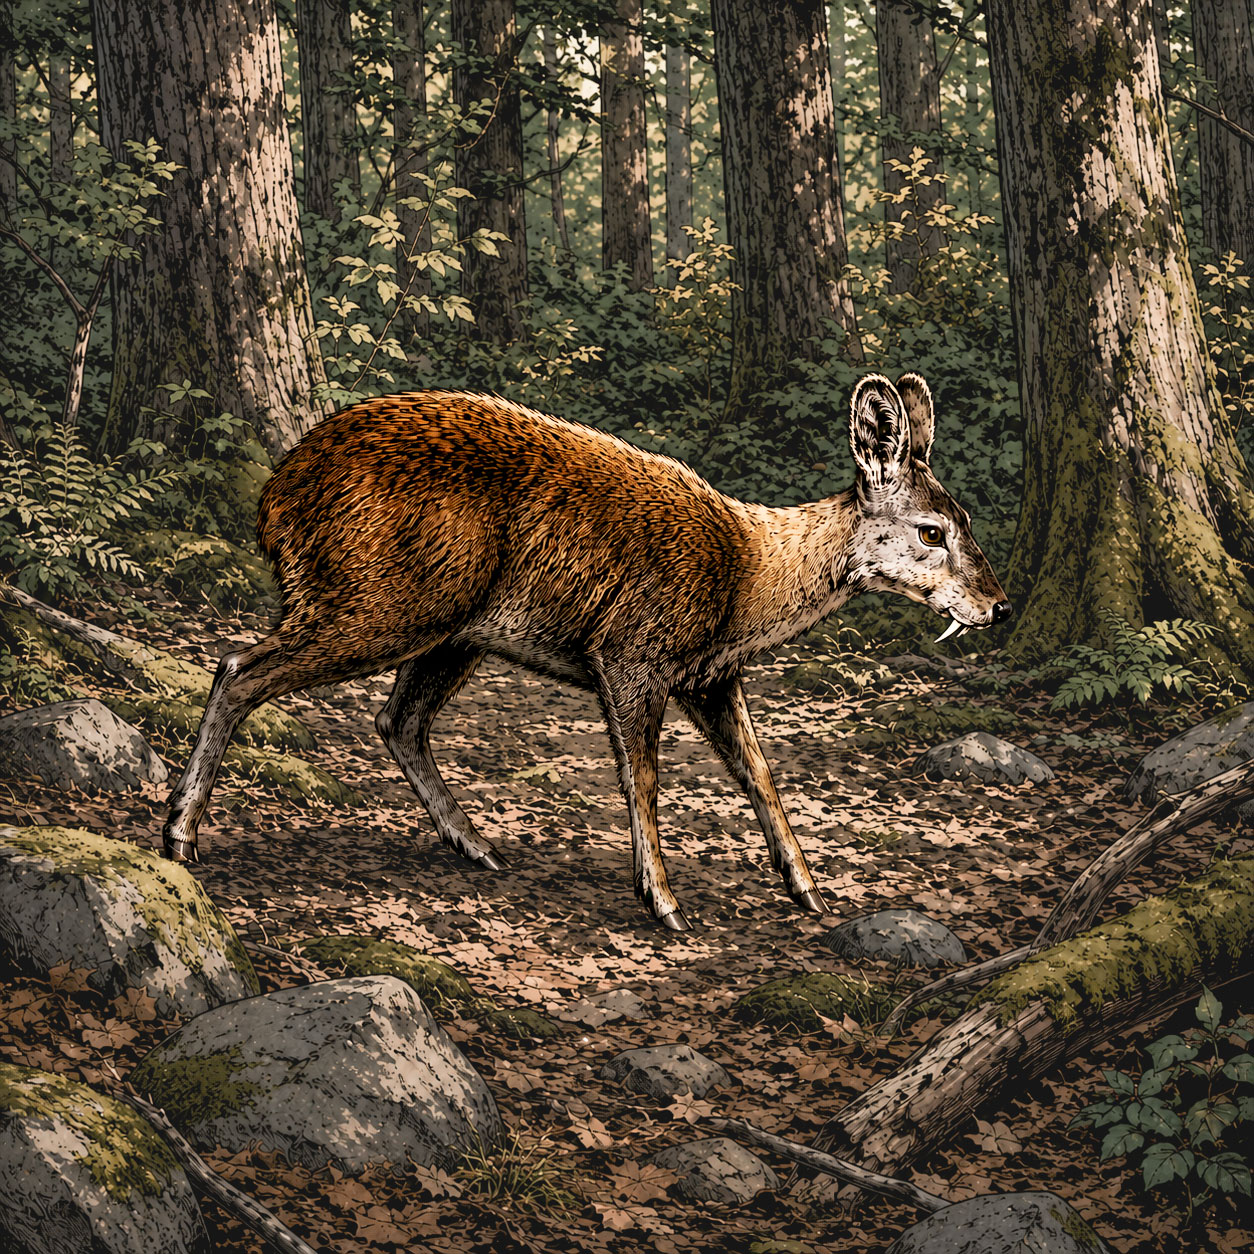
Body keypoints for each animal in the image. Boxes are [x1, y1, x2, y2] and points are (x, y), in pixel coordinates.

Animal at [162, 373, 1010, 931]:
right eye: (932, 531)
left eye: (967, 519)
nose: (999, 605)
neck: (747, 579)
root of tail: (275, 501)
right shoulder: (632, 649)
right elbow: (643, 775)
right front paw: (663, 901)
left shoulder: (711, 674)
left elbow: (759, 773)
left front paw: (806, 888)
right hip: (381, 597)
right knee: (239, 669)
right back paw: (179, 833)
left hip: (452, 628)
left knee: (397, 721)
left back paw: (476, 845)